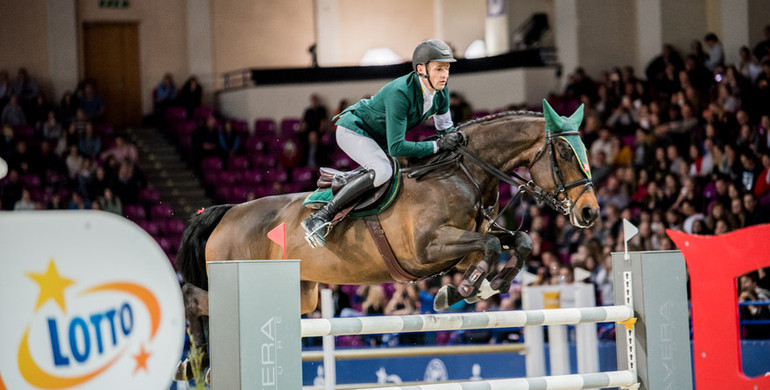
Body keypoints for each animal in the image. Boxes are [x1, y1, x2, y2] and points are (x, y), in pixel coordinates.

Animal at [176, 100, 600, 380]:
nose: (589, 213)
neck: (461, 174)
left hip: (300, 295)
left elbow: (519, 241)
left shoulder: (469, 242)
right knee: (193, 298)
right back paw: (196, 363)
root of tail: (227, 213)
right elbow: (493, 246)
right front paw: (463, 290)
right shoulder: (428, 250)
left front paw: (480, 288)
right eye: (565, 152)